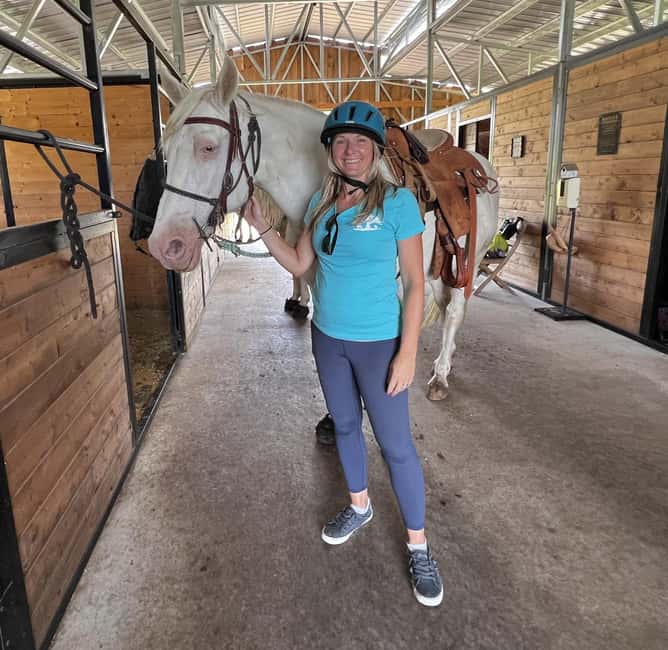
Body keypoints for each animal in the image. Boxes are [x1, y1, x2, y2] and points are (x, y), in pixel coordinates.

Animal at [148, 57, 500, 401]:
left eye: (208, 147)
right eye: (166, 151)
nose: (165, 245)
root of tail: (479, 164)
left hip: (470, 260)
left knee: (454, 310)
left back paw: (440, 375)